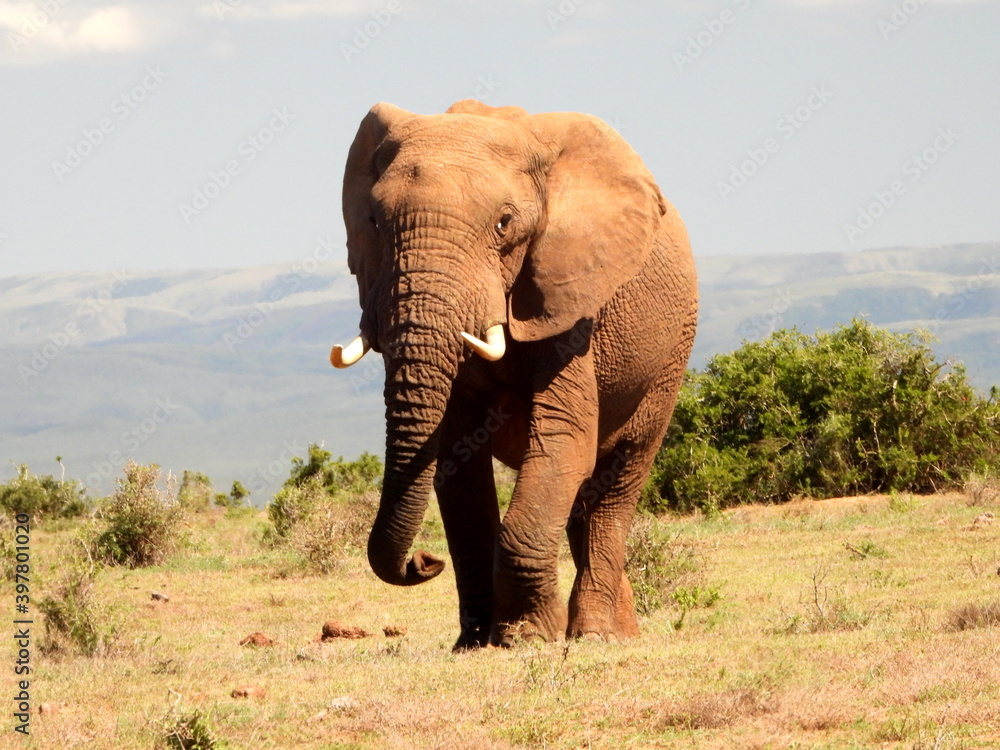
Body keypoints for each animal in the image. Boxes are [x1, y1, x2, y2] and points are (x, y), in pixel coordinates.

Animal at [330, 99, 697, 649]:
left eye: (504, 224)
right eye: (373, 221)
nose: (423, 560)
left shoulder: (569, 301)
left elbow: (565, 438)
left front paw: (526, 636)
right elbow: (458, 464)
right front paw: (476, 643)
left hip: (668, 361)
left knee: (618, 480)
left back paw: (595, 636)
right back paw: (619, 633)